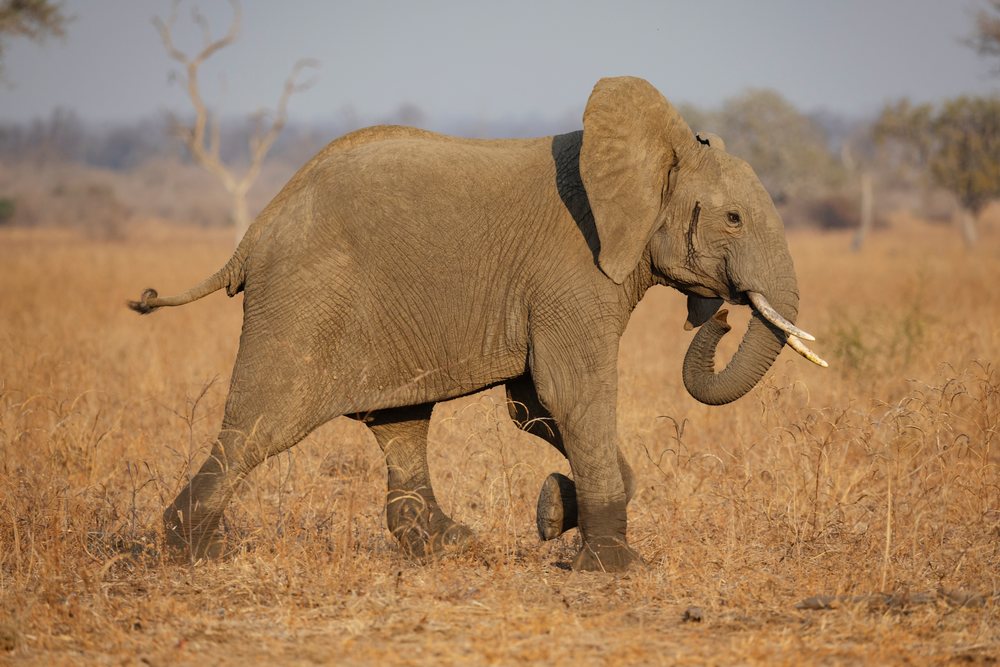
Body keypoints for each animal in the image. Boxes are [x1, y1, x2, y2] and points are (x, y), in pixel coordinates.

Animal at [128, 76, 826, 572]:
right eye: (733, 219)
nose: (724, 315)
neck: (651, 150)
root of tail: (255, 231)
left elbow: (536, 404)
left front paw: (551, 512)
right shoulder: (573, 272)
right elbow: (571, 392)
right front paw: (617, 566)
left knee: (400, 423)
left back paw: (448, 546)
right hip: (304, 300)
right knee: (262, 422)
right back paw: (188, 553)